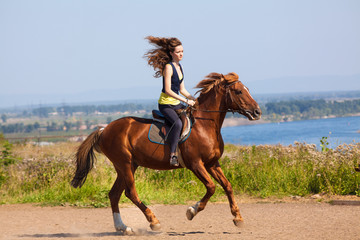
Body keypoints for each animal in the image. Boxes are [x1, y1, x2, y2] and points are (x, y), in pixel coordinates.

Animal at [71, 72, 262, 233]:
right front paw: (191, 211)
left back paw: (123, 228)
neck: (205, 125)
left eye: (247, 89)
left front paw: (238, 218)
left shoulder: (212, 163)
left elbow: (227, 186)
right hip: (124, 163)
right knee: (130, 193)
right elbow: (211, 187)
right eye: (238, 91)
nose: (257, 112)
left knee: (114, 194)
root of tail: (104, 129)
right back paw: (153, 222)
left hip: (128, 166)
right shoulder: (196, 164)